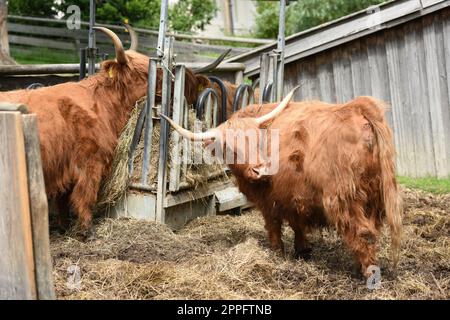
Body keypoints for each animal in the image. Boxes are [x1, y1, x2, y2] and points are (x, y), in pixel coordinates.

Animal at [163, 89, 402, 276]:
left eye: (255, 139)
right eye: (230, 148)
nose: (260, 170)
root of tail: (357, 107)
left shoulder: (269, 199)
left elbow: (274, 224)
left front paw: (277, 251)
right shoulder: (294, 196)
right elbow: (297, 224)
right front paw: (303, 250)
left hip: (344, 197)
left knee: (363, 232)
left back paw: (368, 272)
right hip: (374, 195)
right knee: (373, 230)